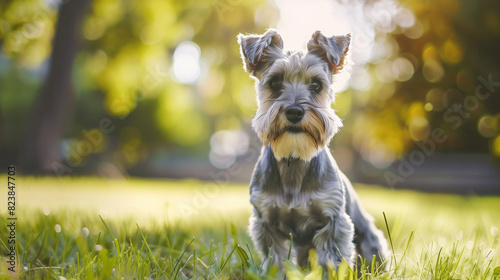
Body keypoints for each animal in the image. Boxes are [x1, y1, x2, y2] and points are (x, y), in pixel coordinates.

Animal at [236, 29, 388, 274]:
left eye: (316, 85)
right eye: (275, 82)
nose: (295, 111)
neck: (295, 158)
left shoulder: (333, 221)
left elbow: (332, 261)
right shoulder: (265, 220)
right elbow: (275, 259)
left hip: (370, 242)